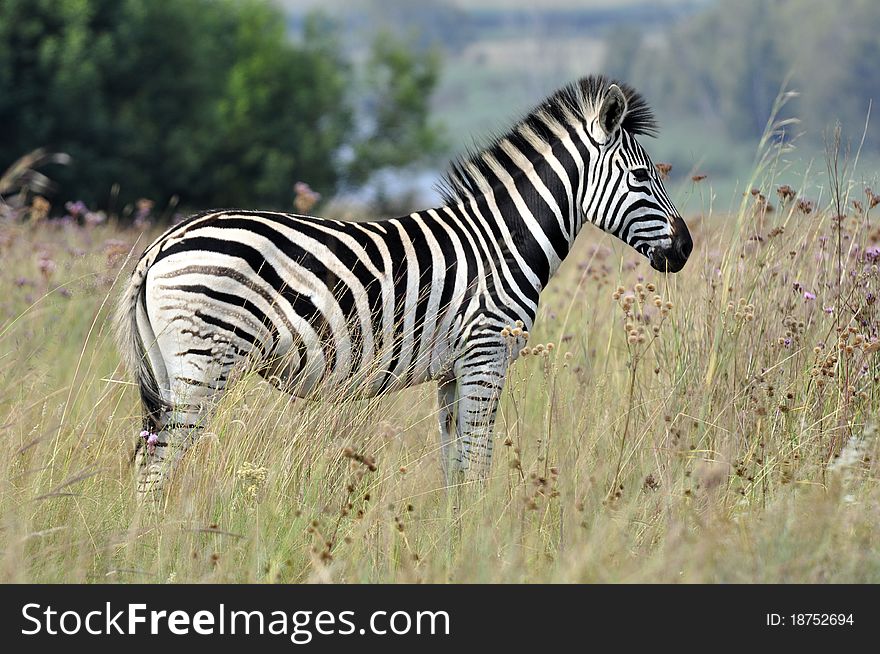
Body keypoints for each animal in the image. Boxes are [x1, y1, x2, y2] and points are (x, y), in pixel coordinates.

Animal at [115, 75, 696, 502]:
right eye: (642, 179)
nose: (687, 249)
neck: (503, 242)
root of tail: (162, 243)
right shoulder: (487, 354)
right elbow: (479, 460)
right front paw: (481, 537)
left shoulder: (454, 370)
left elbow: (454, 465)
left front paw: (456, 537)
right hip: (204, 362)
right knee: (159, 466)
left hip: (168, 370)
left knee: (149, 456)